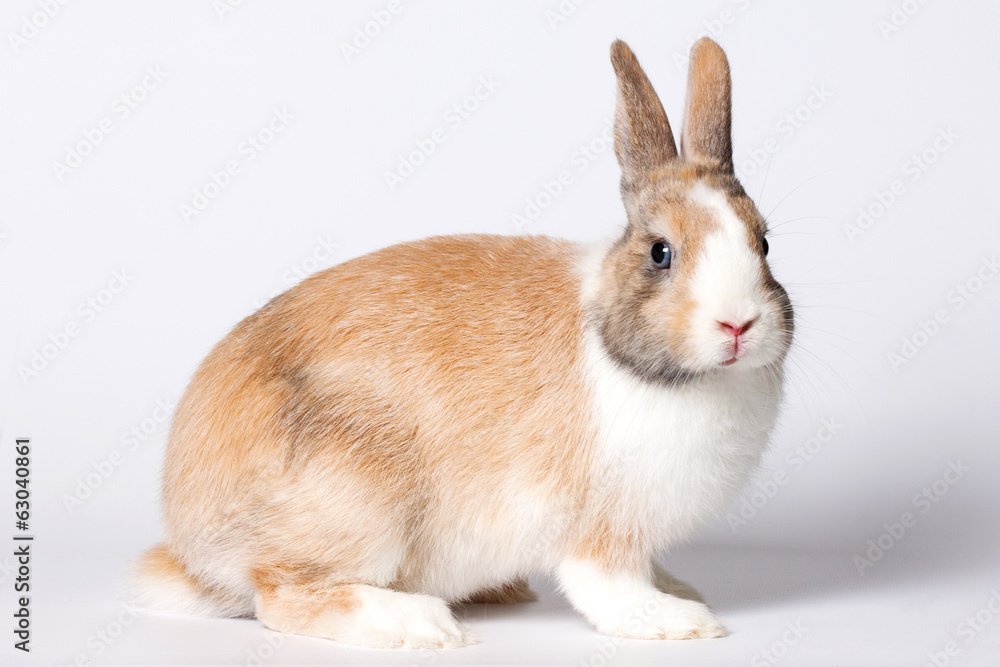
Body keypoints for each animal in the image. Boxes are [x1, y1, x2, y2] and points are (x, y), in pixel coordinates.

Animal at [131, 37, 793, 649]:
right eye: (661, 252)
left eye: (763, 243)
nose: (738, 325)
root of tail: (189, 551)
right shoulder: (598, 529)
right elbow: (609, 584)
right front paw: (679, 621)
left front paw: (681, 589)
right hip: (355, 501)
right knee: (281, 592)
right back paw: (419, 624)